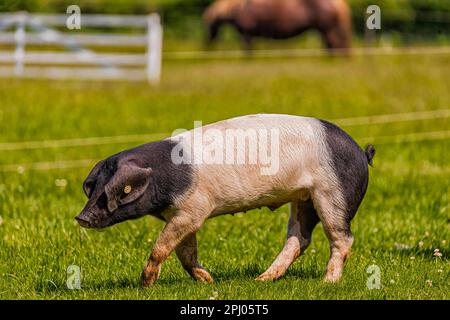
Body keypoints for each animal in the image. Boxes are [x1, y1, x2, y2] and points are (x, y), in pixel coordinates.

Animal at [75, 114, 374, 286]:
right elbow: (185, 253)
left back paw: (328, 282)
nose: (81, 217)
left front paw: (145, 284)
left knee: (342, 238)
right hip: (303, 198)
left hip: (333, 194)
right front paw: (208, 281)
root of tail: (362, 152)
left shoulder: (194, 209)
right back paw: (262, 279)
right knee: (299, 239)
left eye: (113, 193)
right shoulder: (183, 214)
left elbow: (161, 247)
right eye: (93, 188)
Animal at [203, 0, 352, 54]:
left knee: (334, 45)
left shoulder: (246, 33)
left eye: (208, 25)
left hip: (328, 29)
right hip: (326, 30)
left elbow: (247, 50)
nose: (207, 47)